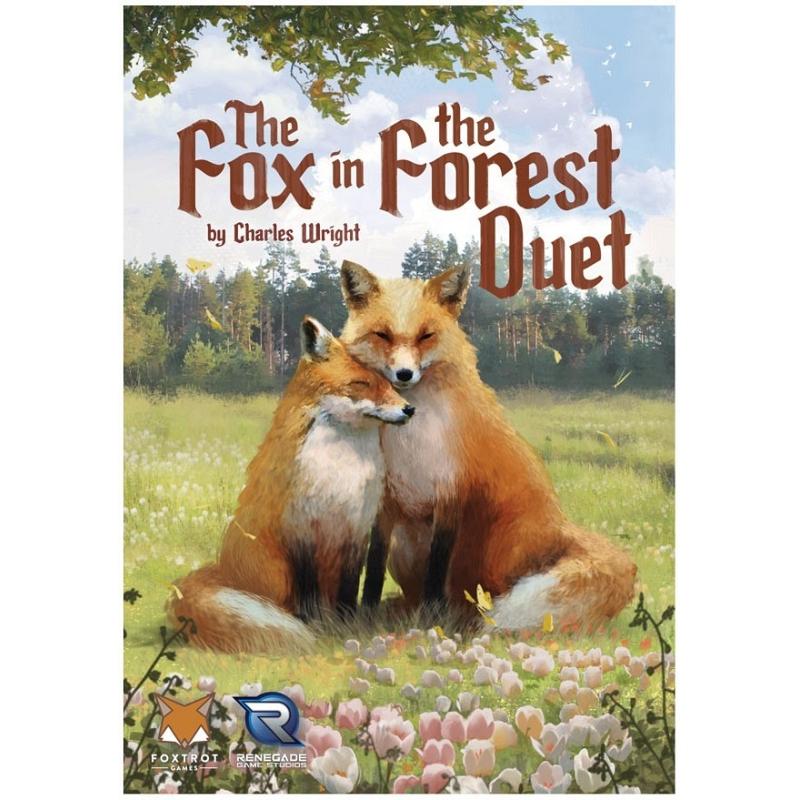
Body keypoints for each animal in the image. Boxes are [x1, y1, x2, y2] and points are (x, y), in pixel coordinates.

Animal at [167, 316, 414, 652]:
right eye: (361, 384)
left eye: (390, 383)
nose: (409, 409)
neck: (339, 472)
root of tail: (221, 570)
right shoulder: (300, 528)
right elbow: (307, 590)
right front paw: (313, 625)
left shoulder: (356, 528)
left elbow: (349, 588)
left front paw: (348, 624)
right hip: (278, 571)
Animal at [339, 261, 637, 631]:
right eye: (382, 335)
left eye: (426, 336)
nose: (404, 374)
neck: (411, 440)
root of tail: (561, 527)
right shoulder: (386, 501)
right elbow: (374, 566)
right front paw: (363, 615)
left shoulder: (451, 493)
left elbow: (437, 568)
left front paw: (432, 618)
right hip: (405, 545)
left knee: (479, 596)